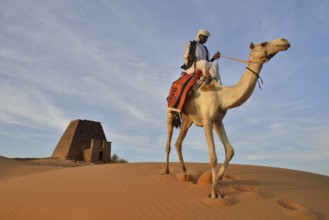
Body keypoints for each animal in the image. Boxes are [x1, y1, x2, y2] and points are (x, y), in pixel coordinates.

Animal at [164, 37, 290, 199]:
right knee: (169, 140)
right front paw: (214, 193)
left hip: (187, 119)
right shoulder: (207, 121)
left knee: (178, 143)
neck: (222, 96)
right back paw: (166, 170)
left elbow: (230, 150)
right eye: (263, 44)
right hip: (171, 110)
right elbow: (213, 157)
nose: (284, 41)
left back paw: (185, 174)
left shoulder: (218, 121)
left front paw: (217, 179)